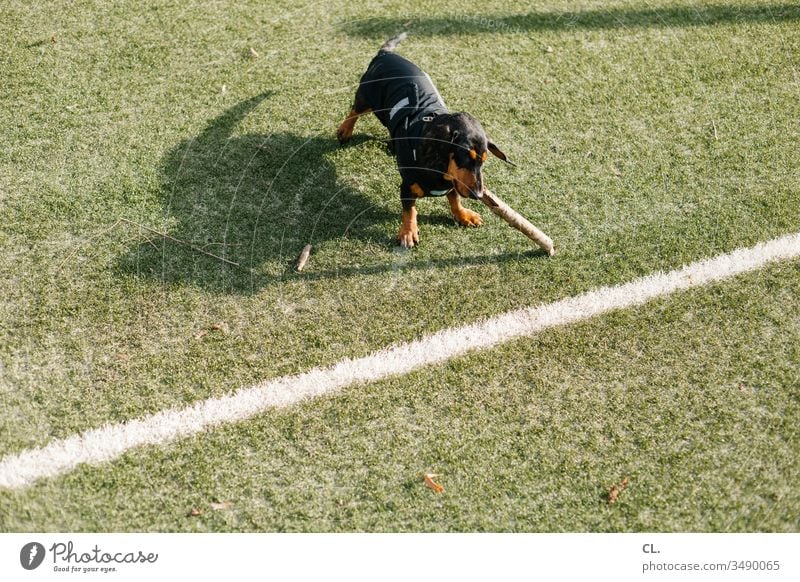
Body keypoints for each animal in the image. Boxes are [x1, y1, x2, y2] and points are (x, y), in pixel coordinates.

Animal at [336, 33, 512, 249]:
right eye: (464, 157)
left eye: (483, 161)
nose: (478, 195)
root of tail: (385, 54)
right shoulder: (407, 185)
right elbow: (409, 209)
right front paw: (408, 232)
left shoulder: (452, 182)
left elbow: (454, 198)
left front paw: (463, 215)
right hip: (369, 97)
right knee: (355, 109)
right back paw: (345, 130)